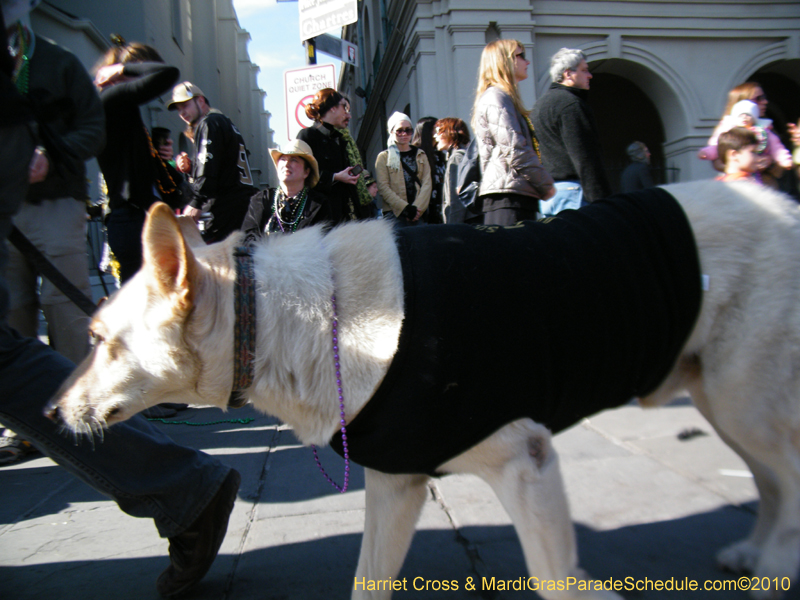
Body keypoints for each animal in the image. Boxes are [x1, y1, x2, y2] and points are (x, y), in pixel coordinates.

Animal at [48, 180, 800, 596]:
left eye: (100, 341)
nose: (52, 413)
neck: (316, 323)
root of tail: (781, 201)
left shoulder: (526, 465)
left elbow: (559, 584)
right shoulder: (396, 486)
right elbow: (366, 585)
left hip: (741, 401)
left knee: (788, 480)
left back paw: (773, 569)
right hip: (724, 402)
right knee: (772, 484)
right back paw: (755, 558)